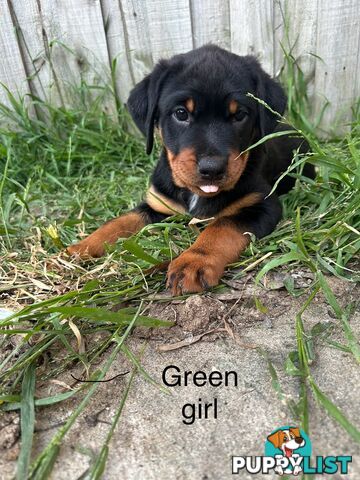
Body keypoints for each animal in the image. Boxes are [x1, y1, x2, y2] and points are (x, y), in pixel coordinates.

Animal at [67, 45, 312, 294]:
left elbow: (221, 227)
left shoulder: (261, 205)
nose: (211, 169)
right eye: (181, 113)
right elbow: (120, 221)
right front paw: (82, 247)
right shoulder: (157, 204)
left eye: (240, 115)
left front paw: (194, 262)